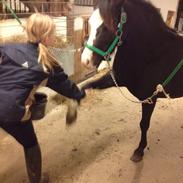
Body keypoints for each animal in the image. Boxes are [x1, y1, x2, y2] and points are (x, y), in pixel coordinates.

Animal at [81, 0, 183, 162]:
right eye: (90, 23)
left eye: (106, 27)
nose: (85, 61)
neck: (153, 54)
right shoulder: (118, 79)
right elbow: (88, 85)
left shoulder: (150, 99)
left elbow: (144, 124)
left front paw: (139, 150)